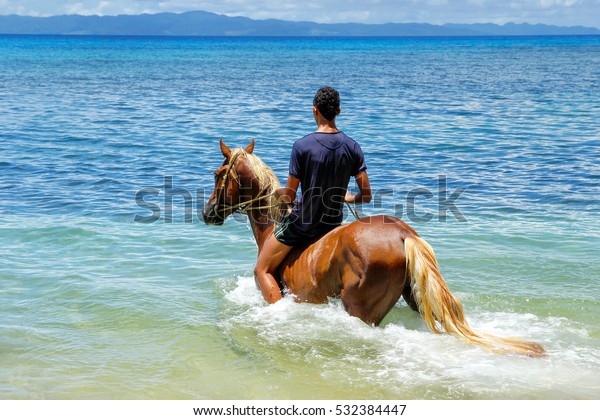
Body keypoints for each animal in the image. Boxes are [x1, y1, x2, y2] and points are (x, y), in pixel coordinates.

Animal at [202, 139, 544, 356]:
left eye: (218, 175)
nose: (207, 213)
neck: (273, 224)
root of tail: (404, 235)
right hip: (415, 297)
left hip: (361, 308)